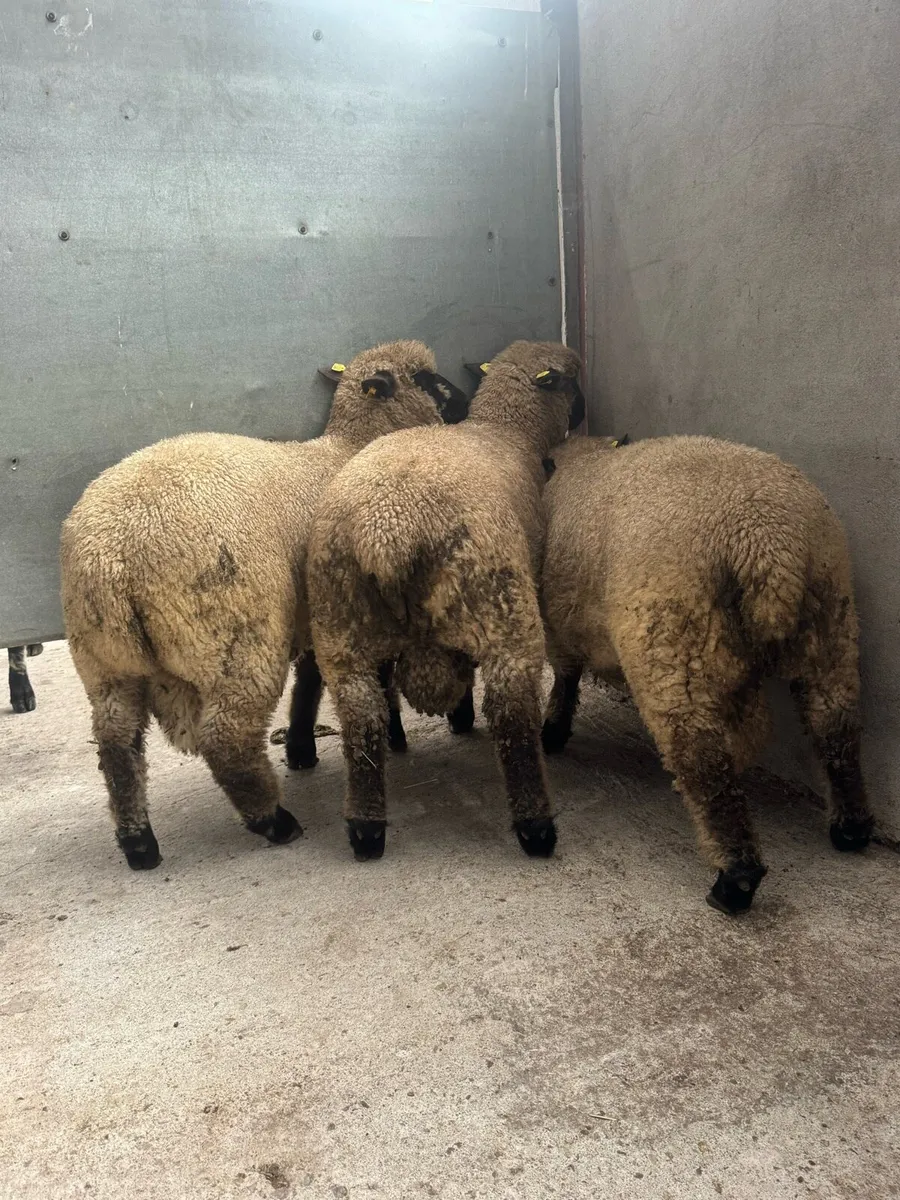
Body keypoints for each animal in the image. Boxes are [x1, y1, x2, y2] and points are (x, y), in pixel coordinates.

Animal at [60, 340, 468, 870]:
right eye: (424, 378)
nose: (465, 402)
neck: (347, 447)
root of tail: (113, 555)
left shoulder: (314, 615)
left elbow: (311, 678)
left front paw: (300, 747)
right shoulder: (332, 610)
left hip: (103, 659)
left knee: (116, 742)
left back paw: (139, 844)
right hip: (237, 637)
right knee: (226, 738)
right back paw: (274, 821)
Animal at [307, 339, 585, 861]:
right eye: (571, 380)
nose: (583, 412)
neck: (505, 430)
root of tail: (389, 534)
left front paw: (457, 715)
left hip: (340, 620)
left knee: (360, 714)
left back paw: (366, 828)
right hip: (501, 603)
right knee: (512, 712)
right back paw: (535, 827)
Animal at [539, 433, 874, 914]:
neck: (582, 460)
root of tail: (768, 542)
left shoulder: (557, 626)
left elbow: (565, 679)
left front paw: (553, 731)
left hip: (672, 642)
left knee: (702, 757)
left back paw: (735, 879)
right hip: (831, 622)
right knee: (836, 727)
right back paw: (851, 828)